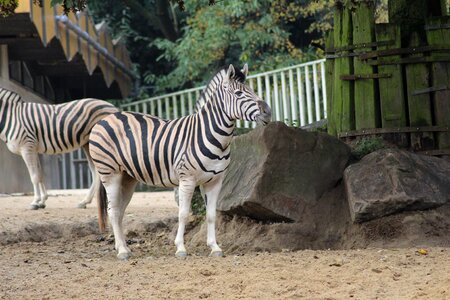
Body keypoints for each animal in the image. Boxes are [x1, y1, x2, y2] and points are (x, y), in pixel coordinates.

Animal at [89, 63, 270, 260]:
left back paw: (124, 248)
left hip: (127, 177)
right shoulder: (187, 179)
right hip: (110, 173)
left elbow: (211, 215)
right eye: (238, 93)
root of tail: (105, 118)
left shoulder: (215, 181)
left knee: (120, 211)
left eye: (252, 90)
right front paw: (181, 248)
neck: (210, 135)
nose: (268, 112)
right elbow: (183, 214)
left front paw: (214, 247)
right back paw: (122, 251)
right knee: (113, 211)